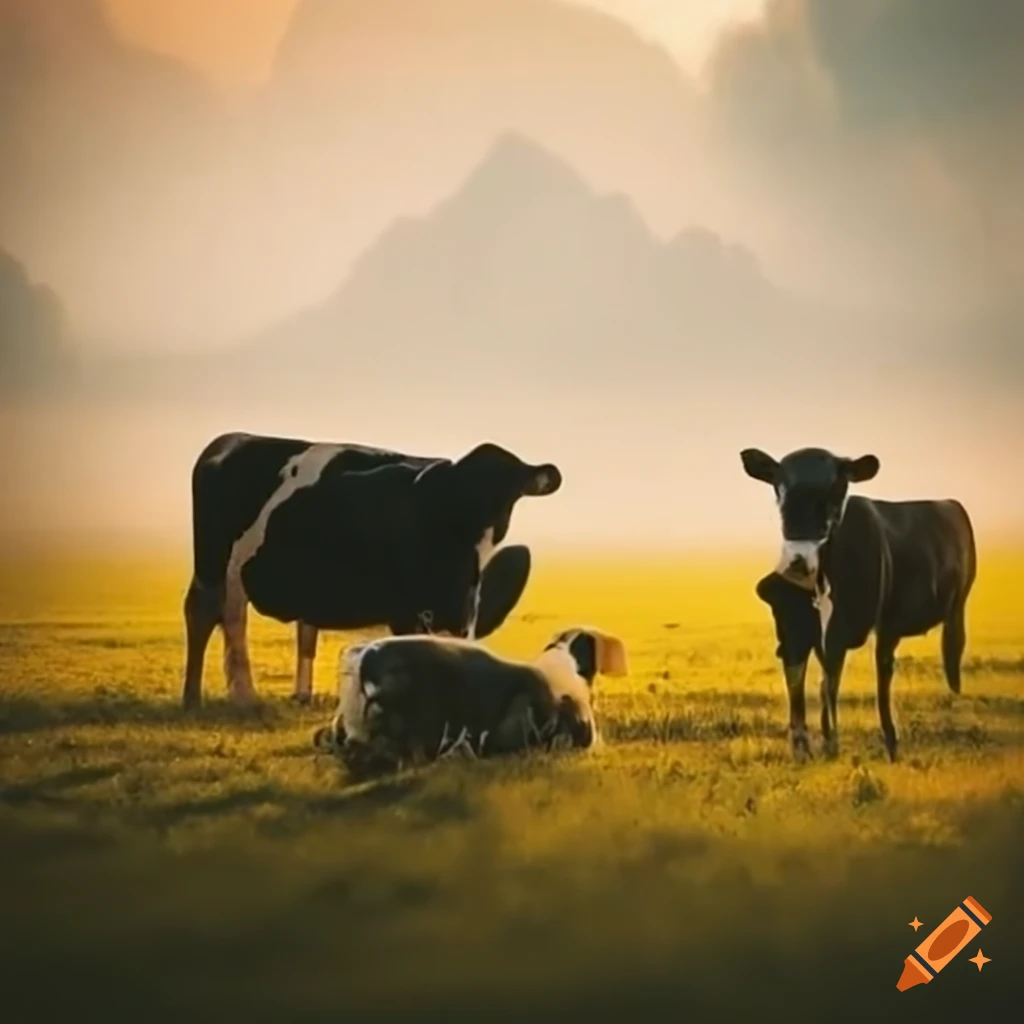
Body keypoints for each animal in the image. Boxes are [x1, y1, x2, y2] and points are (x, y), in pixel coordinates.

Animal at [182, 432, 562, 709]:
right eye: (460, 492)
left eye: (508, 492)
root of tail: (231, 439)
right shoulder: (403, 609)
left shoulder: (460, 612)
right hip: (217, 566)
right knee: (214, 617)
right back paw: (216, 697)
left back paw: (296, 696)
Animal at [741, 446, 977, 762]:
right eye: (779, 488)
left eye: (837, 488)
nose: (797, 562)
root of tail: (949, 502)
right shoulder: (795, 630)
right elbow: (805, 680)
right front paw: (807, 745)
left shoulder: (876, 625)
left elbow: (846, 681)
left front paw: (856, 743)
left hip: (955, 604)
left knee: (948, 646)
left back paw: (954, 693)